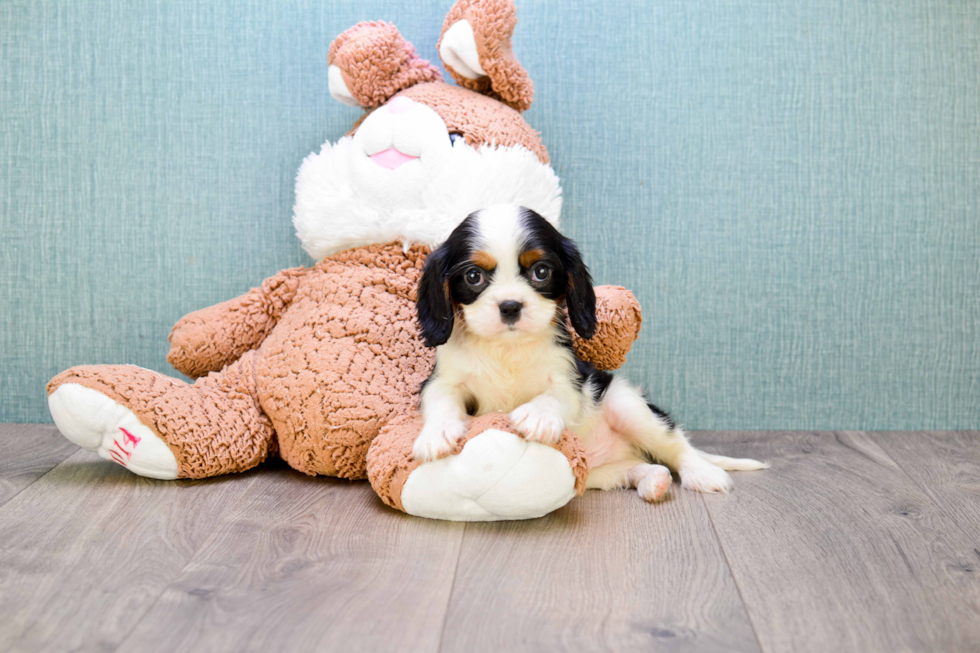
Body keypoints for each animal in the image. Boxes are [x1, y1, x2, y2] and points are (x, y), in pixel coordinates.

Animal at [414, 204, 764, 500]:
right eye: (473, 276)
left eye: (541, 272)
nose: (510, 306)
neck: (508, 349)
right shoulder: (444, 380)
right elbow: (442, 400)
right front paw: (436, 433)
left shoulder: (571, 379)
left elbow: (556, 395)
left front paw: (538, 415)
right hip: (598, 472)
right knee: (640, 467)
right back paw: (653, 481)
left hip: (629, 406)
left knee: (677, 446)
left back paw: (704, 474)